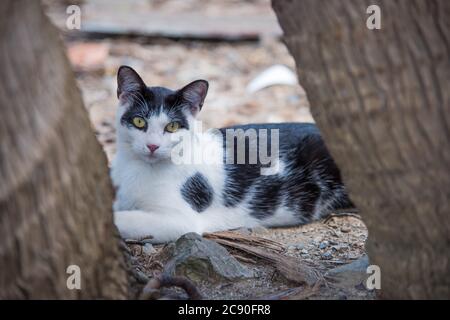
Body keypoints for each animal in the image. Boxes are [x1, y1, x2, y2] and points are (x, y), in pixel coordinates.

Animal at [110, 66, 354, 244]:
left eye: (172, 126)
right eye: (139, 121)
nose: (152, 145)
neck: (137, 169)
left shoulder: (180, 220)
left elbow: (124, 218)